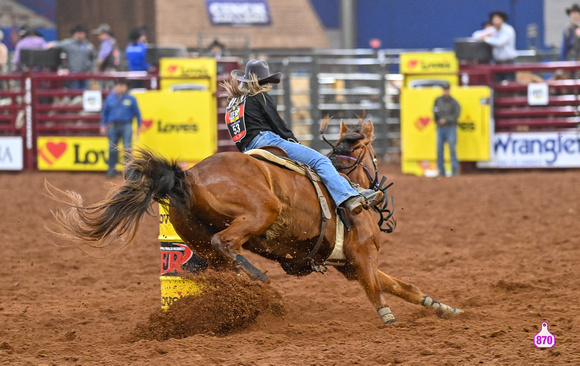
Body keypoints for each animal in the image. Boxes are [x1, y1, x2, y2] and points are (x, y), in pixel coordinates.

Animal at [52, 118, 464, 322]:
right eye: (372, 153)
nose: (377, 190)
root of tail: (190, 176)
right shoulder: (361, 256)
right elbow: (378, 289)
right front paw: (387, 317)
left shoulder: (349, 264)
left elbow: (403, 286)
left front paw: (442, 307)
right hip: (261, 210)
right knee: (226, 244)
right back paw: (258, 278)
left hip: (198, 238)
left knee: (214, 260)